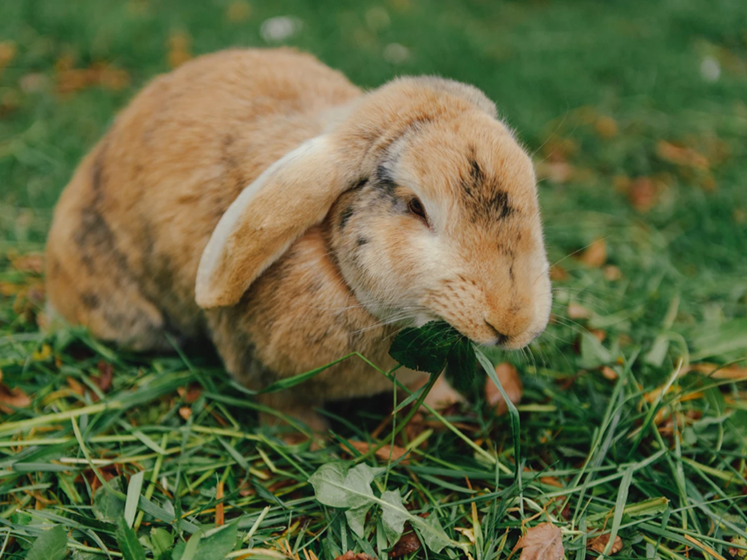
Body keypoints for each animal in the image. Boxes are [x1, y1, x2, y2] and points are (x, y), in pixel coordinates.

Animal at [45, 48, 548, 430]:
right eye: (416, 207)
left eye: (532, 186)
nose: (512, 322)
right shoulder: (256, 363)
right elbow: (281, 403)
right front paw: (304, 439)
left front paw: (444, 402)